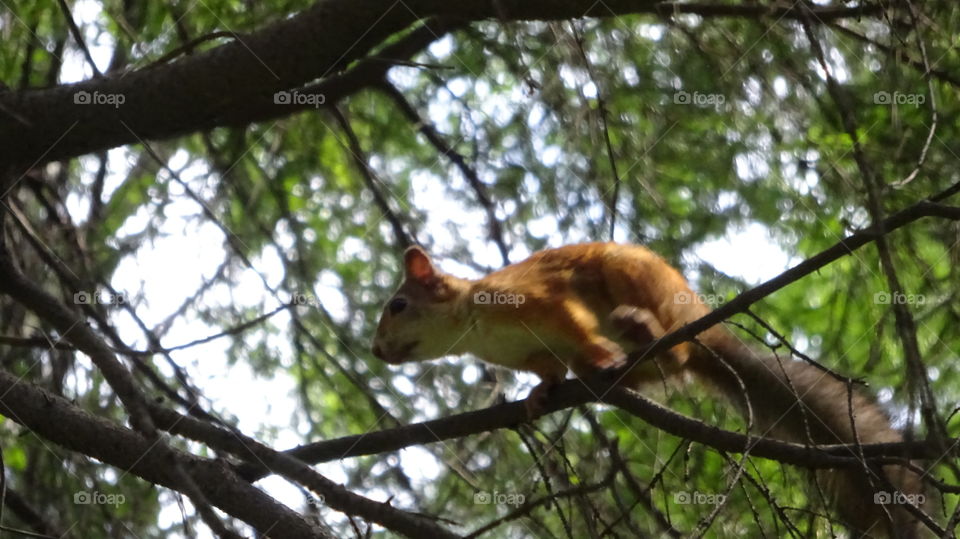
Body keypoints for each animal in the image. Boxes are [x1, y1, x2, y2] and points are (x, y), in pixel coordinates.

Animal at [372, 242, 926, 537]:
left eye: (398, 305)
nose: (376, 351)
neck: (475, 324)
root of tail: (696, 320)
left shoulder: (542, 300)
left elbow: (574, 324)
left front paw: (593, 352)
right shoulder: (532, 355)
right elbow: (549, 371)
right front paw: (537, 397)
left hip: (631, 281)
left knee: (672, 353)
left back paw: (630, 334)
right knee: (664, 369)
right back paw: (615, 368)